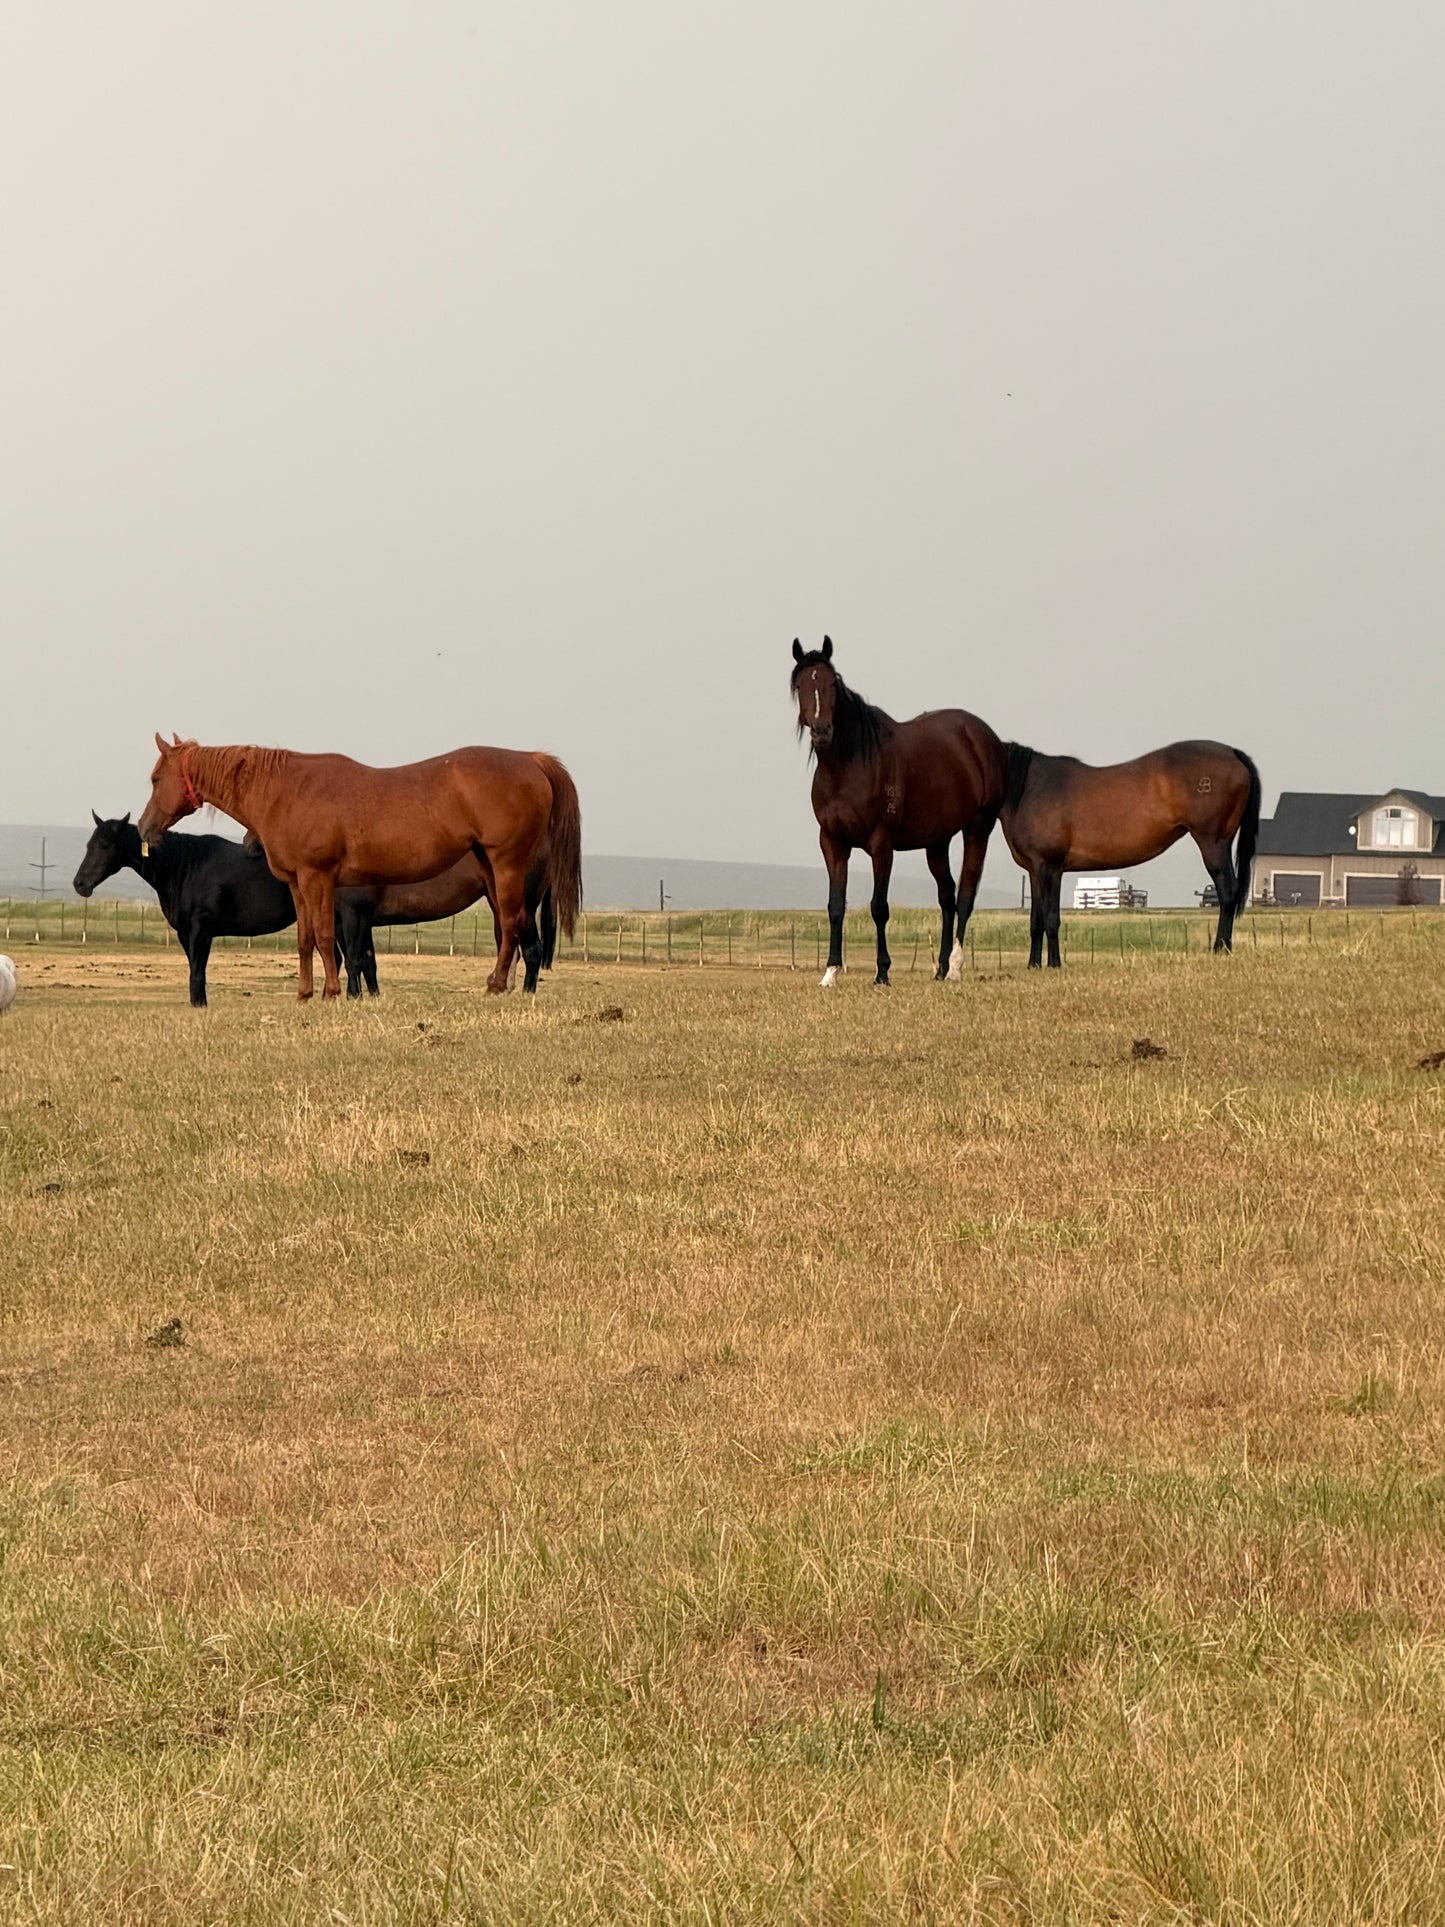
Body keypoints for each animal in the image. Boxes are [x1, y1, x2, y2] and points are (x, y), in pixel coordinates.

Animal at [137, 737, 582, 1001]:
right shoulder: (298, 884)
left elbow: (326, 938)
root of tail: (532, 761)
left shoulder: (319, 879)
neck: (286, 791)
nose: (144, 828)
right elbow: (305, 939)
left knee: (511, 926)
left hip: (506, 867)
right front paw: (304, 995)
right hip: (490, 868)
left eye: (156, 778)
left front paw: (332, 992)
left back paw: (497, 985)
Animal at [790, 637, 1007, 985]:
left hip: (978, 829)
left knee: (965, 897)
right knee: (947, 896)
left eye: (832, 684)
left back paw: (955, 968)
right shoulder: (833, 843)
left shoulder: (881, 845)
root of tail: (983, 737)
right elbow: (835, 906)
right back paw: (940, 968)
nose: (822, 731)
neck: (849, 765)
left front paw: (882, 973)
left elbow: (879, 907)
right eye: (800, 685)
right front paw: (830, 973)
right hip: (937, 841)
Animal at [999, 740, 1262, 967]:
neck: (1030, 789)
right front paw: (1033, 965)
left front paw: (1054, 964)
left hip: (1213, 843)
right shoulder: (1035, 870)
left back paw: (1220, 949)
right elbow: (1036, 920)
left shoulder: (1051, 868)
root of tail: (1231, 752)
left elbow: (1051, 918)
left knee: (1227, 891)